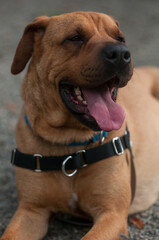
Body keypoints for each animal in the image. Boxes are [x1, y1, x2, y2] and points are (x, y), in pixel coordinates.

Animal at [0, 11, 159, 240]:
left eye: (120, 38)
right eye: (75, 38)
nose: (121, 53)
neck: (70, 145)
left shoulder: (112, 213)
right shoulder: (31, 210)